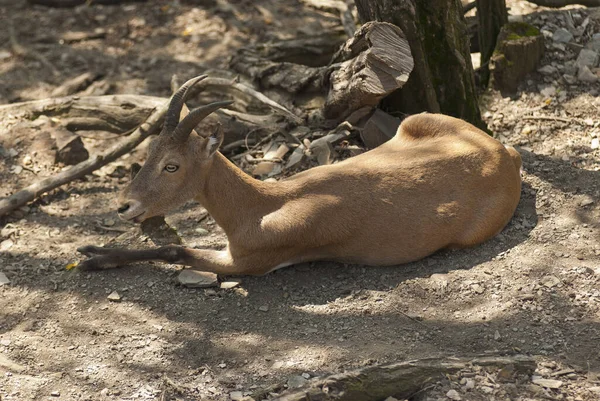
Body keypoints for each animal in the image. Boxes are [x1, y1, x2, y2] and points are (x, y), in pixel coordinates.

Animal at [77, 75, 524, 276]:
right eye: (148, 151)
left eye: (172, 164)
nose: (125, 206)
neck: (259, 206)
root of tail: (506, 155)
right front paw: (92, 251)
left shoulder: (246, 263)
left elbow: (176, 250)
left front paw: (93, 258)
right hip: (417, 120)